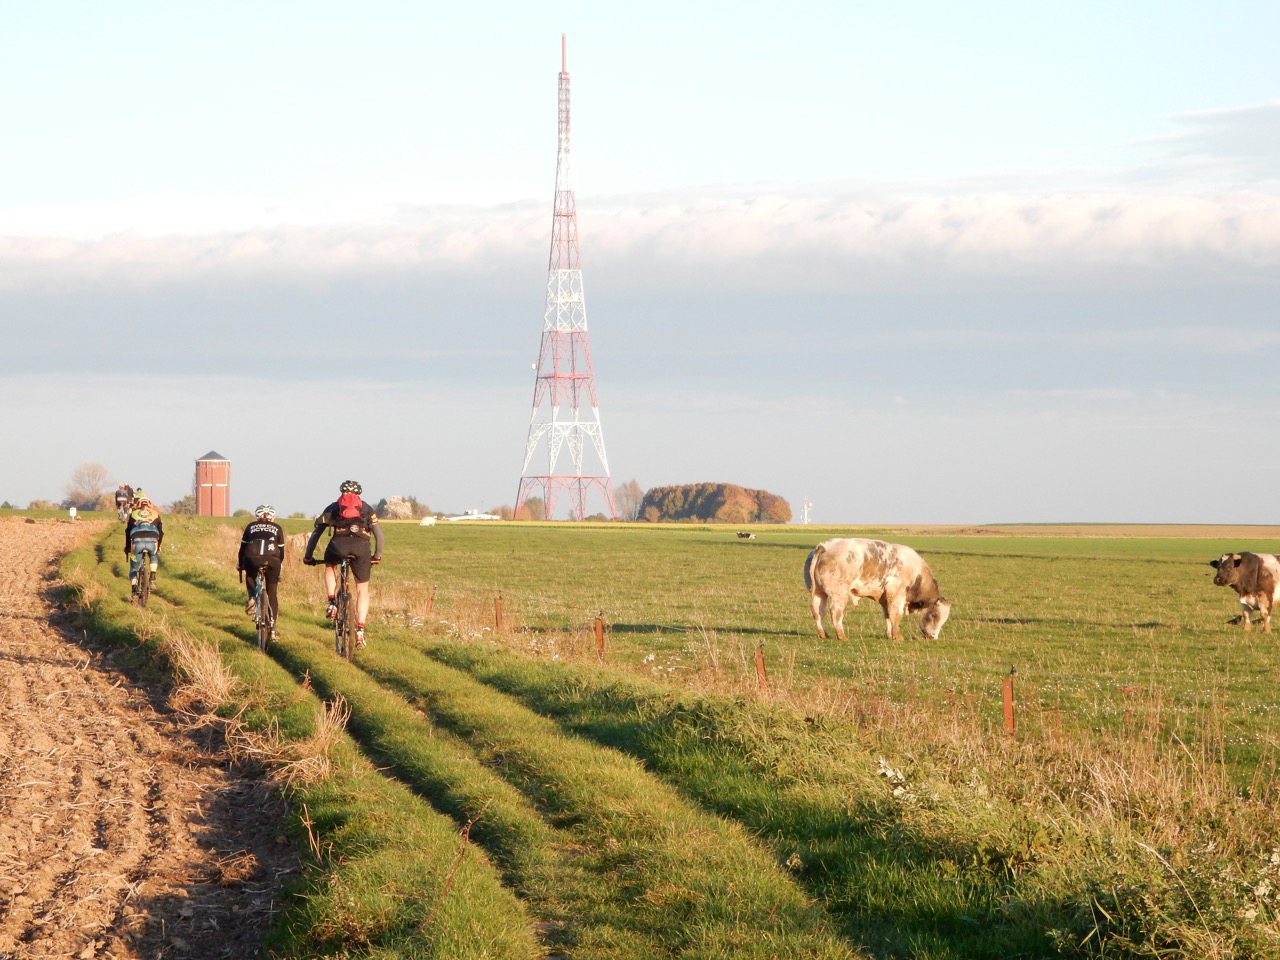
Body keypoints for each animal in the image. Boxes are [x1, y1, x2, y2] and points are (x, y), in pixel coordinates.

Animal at [798, 537, 952, 642]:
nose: (933, 637)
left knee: (818, 612)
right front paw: (898, 636)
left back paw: (823, 634)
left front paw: (890, 635)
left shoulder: (885, 597)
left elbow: (888, 616)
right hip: (839, 593)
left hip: (819, 593)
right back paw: (842, 636)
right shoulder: (896, 595)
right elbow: (896, 615)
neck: (915, 572)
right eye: (934, 615)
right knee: (836, 613)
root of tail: (825, 545)